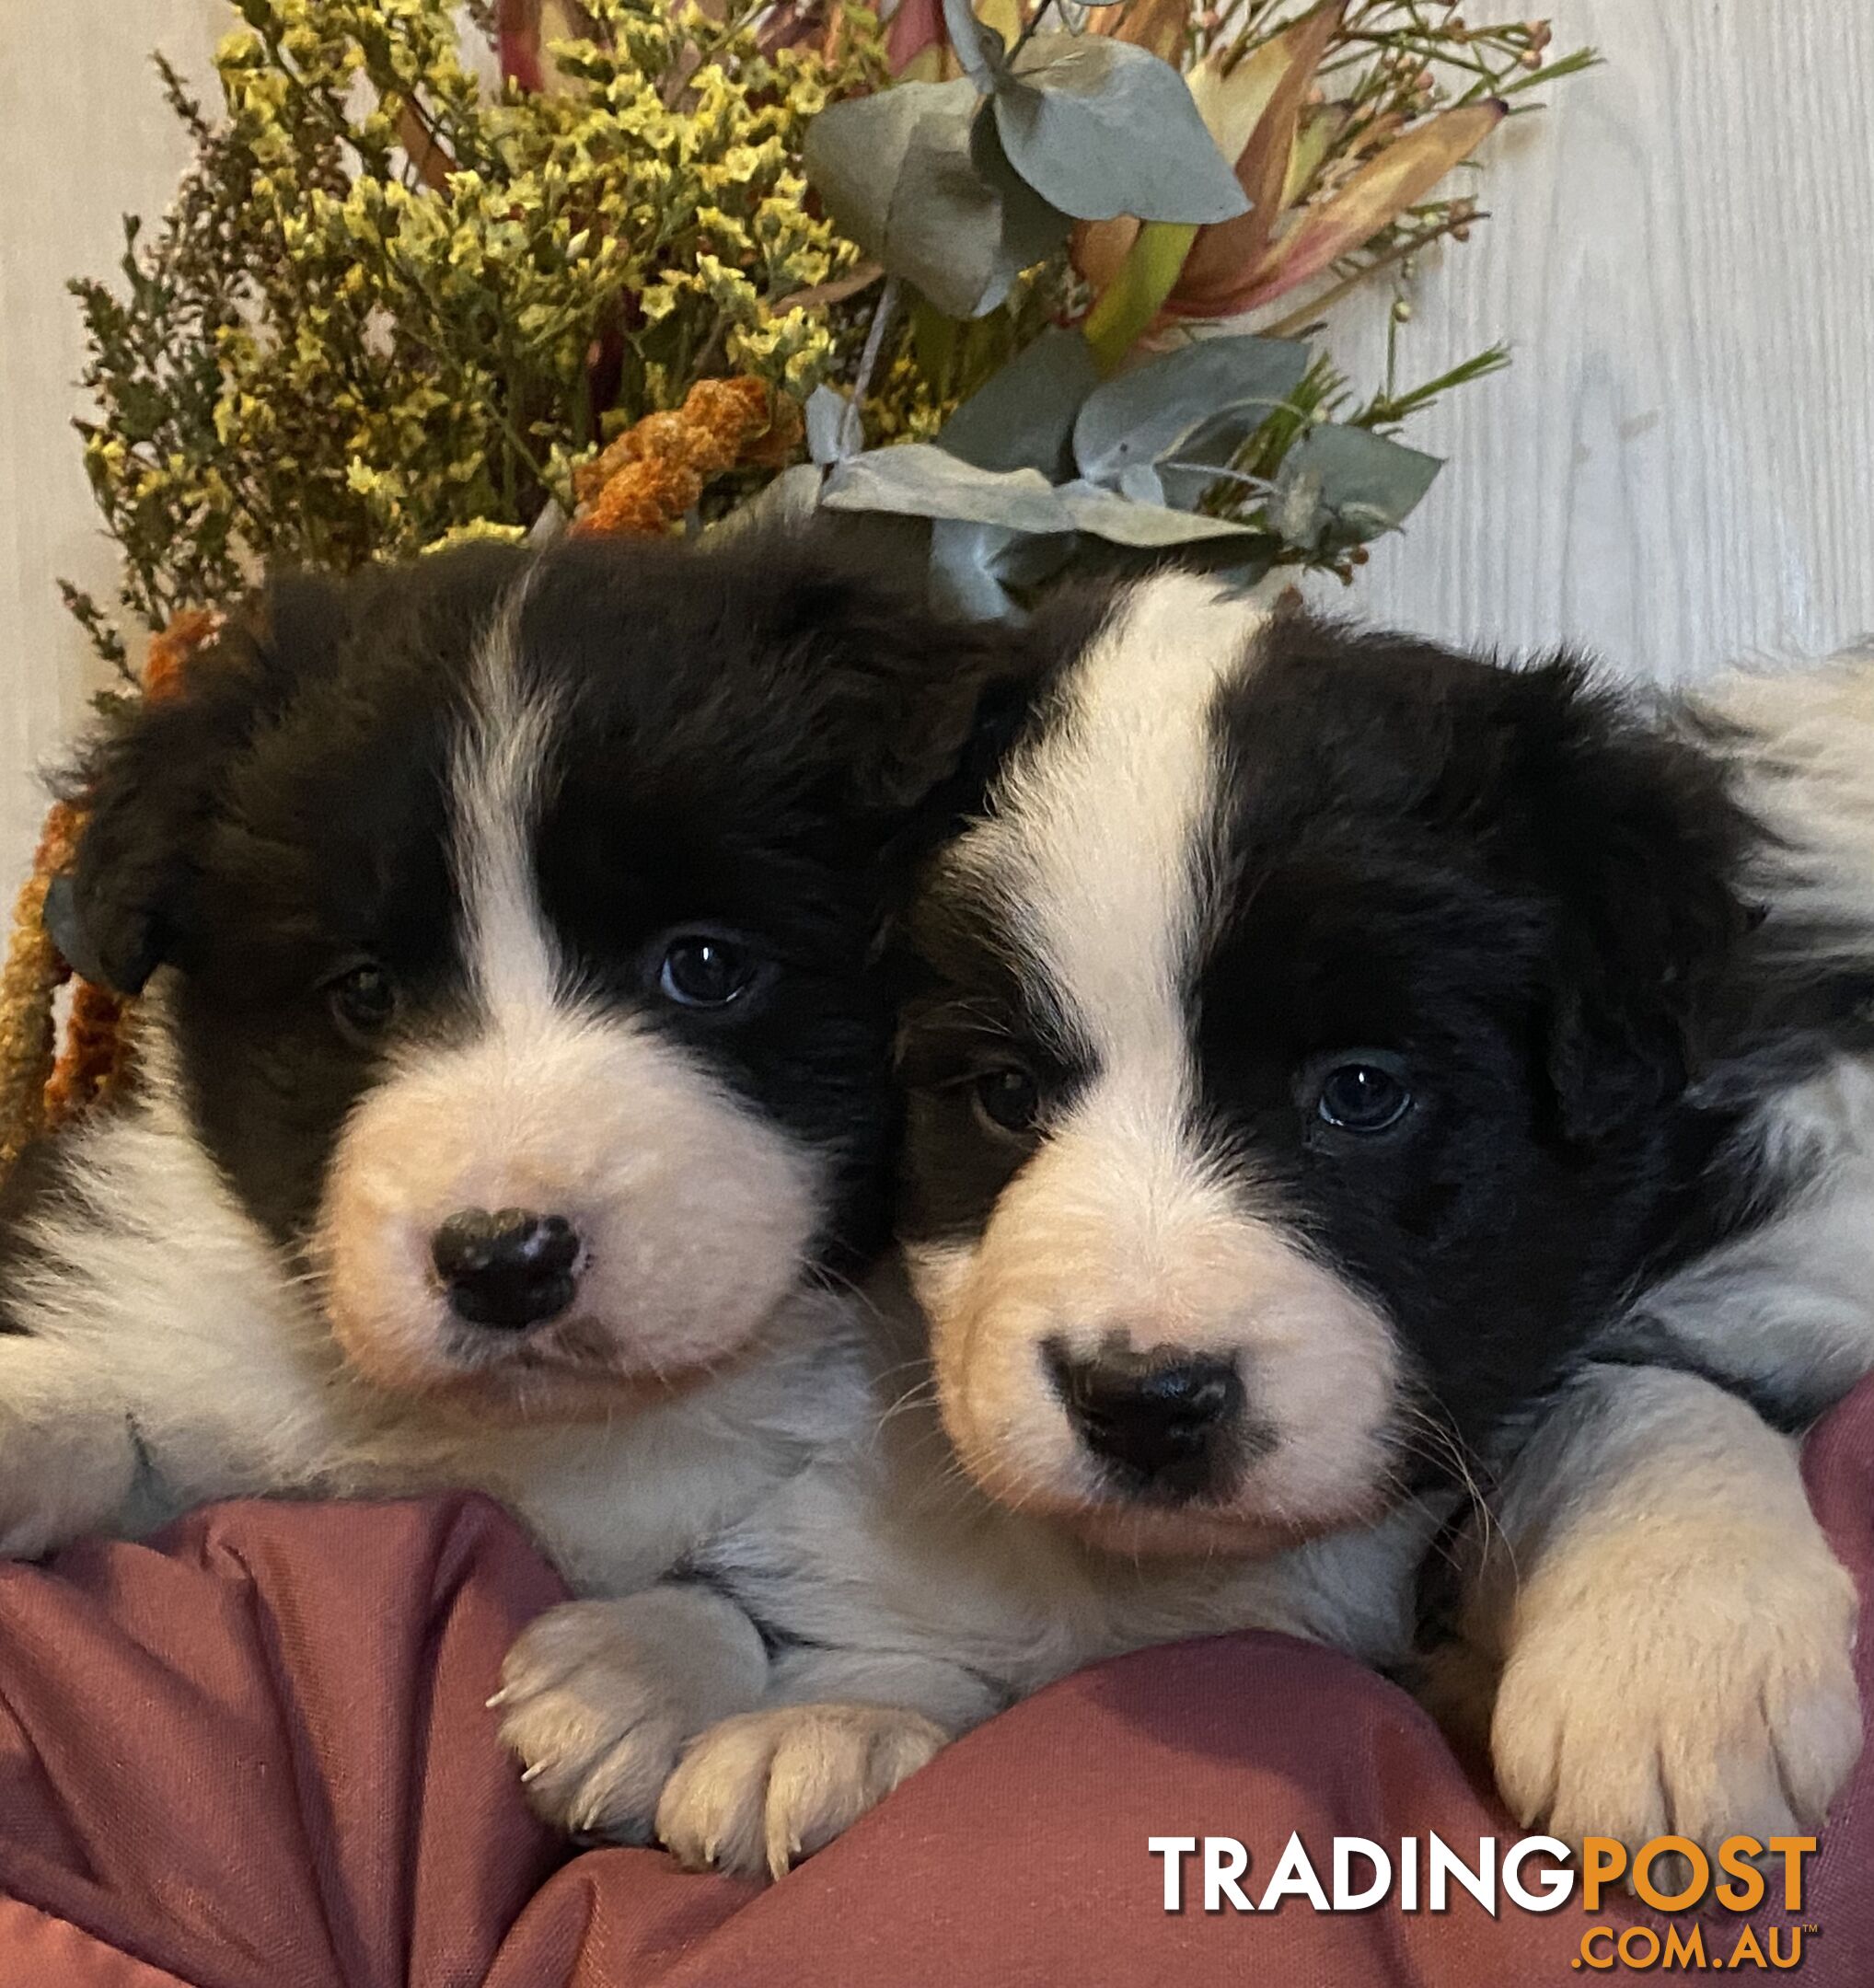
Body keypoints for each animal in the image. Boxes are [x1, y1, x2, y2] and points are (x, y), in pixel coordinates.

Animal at [503, 576, 1874, 1877]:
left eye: (1361, 1093)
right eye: (1004, 1095)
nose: (1142, 1401)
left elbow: (1640, 1389)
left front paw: (1673, 1660)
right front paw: (810, 1702)